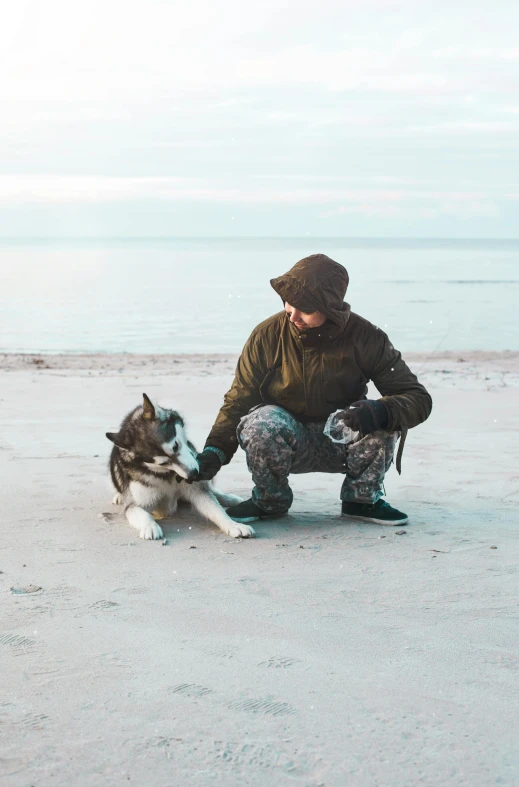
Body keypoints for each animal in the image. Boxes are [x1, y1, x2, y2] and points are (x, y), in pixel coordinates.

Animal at [105, 394, 254, 540]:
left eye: (176, 446)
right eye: (163, 463)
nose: (193, 474)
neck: (165, 475)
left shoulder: (197, 489)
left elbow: (216, 510)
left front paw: (233, 525)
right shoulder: (135, 504)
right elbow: (140, 513)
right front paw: (149, 526)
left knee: (211, 490)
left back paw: (229, 499)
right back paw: (119, 497)